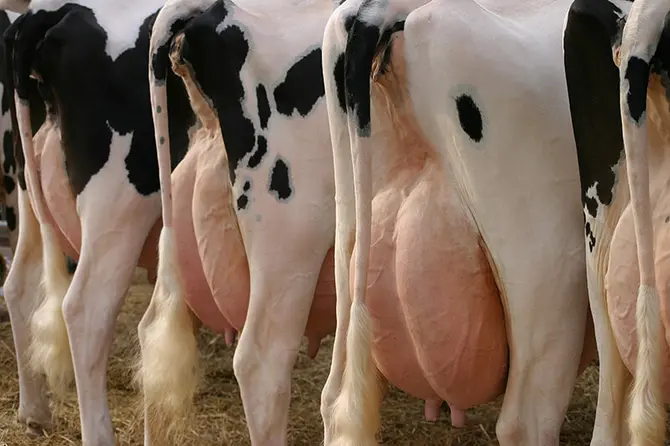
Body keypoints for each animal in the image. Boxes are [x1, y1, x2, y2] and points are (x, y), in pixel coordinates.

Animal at [1, 0, 198, 442]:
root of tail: (51, 12)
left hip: (29, 191)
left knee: (19, 286)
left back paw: (34, 411)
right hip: (119, 203)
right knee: (85, 310)